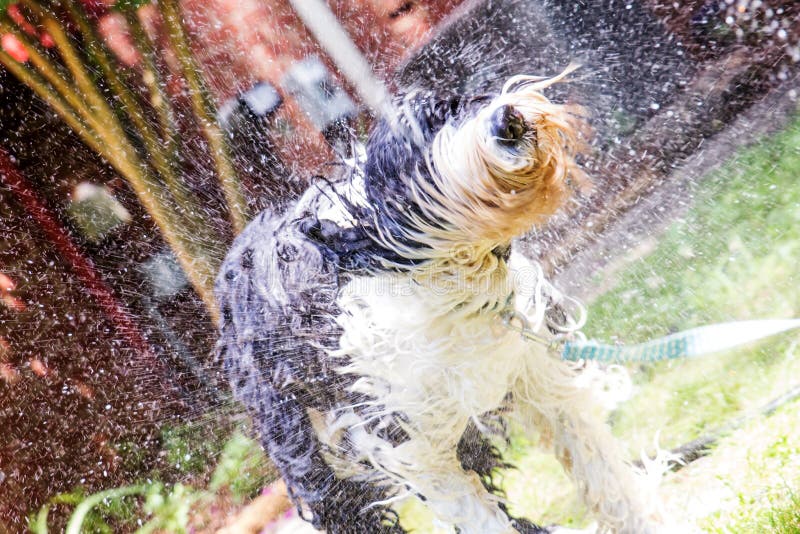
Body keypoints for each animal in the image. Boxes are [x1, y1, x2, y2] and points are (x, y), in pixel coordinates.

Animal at [212, 69, 664, 532]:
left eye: (450, 109)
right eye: (419, 156)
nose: (507, 121)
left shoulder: (539, 373)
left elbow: (606, 481)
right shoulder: (411, 443)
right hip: (314, 462)